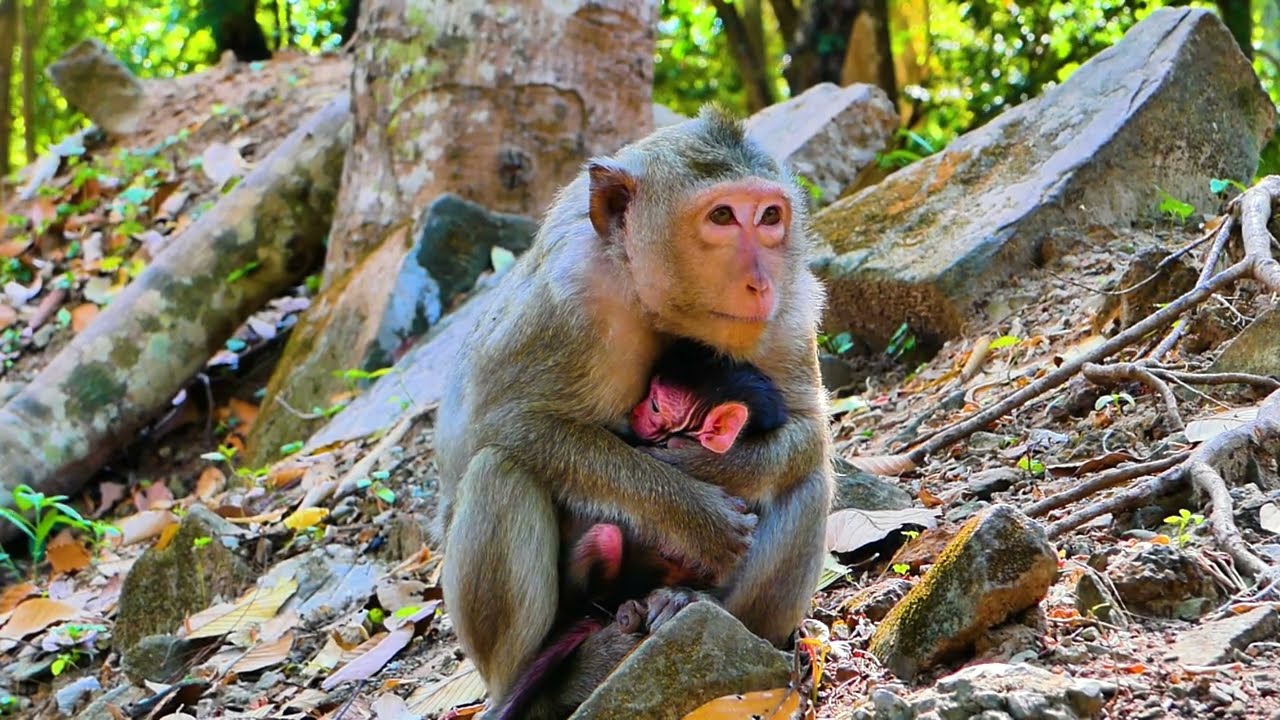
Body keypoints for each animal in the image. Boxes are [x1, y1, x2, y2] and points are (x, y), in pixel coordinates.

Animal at [434, 106, 833, 720]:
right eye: (722, 216)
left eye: (769, 217)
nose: (760, 281)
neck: (644, 293)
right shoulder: (565, 299)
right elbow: (502, 423)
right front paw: (693, 511)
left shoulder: (790, 303)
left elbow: (810, 429)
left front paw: (703, 465)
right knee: (498, 469)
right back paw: (549, 678)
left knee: (806, 478)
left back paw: (686, 603)